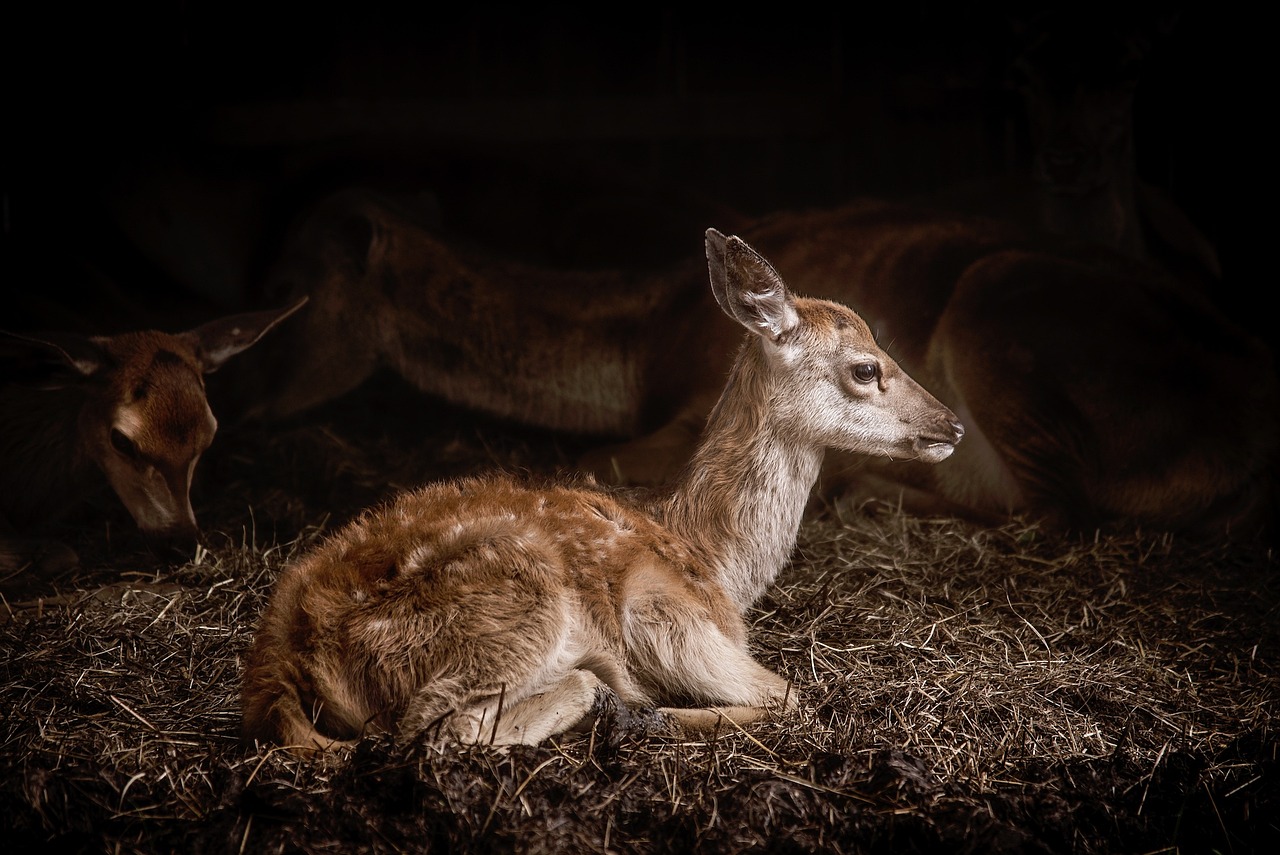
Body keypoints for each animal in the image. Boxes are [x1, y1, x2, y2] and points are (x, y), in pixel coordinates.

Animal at [238, 226, 962, 752]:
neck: (714, 560)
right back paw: (611, 702)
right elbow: (790, 696)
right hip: (516, 610)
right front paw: (653, 713)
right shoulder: (667, 614)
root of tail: (281, 656)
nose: (951, 424)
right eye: (866, 368)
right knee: (439, 727)